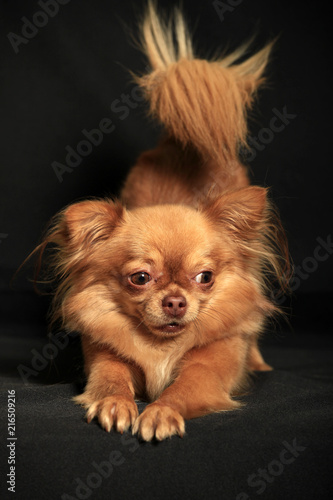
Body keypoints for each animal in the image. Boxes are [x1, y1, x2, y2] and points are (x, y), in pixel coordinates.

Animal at [32, 1, 290, 440]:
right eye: (140, 278)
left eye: (205, 277)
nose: (174, 301)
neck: (162, 347)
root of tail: (183, 140)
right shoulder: (104, 356)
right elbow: (112, 377)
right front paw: (115, 404)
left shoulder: (211, 365)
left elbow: (185, 385)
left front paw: (161, 411)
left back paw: (256, 360)